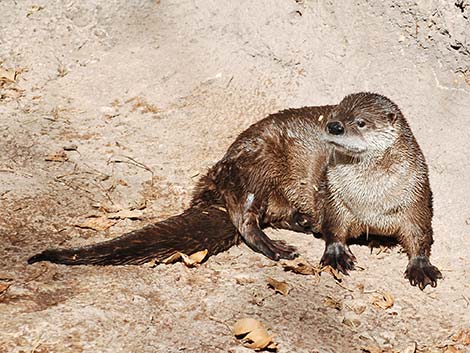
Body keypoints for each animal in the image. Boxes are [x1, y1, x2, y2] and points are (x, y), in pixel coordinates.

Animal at [28, 93, 440, 288]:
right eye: (336, 114)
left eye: (360, 121)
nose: (335, 126)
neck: (371, 199)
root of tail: (219, 170)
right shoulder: (336, 201)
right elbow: (335, 229)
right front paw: (337, 255)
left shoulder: (416, 196)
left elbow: (420, 235)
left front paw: (421, 267)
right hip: (254, 165)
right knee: (245, 219)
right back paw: (277, 247)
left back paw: (302, 222)